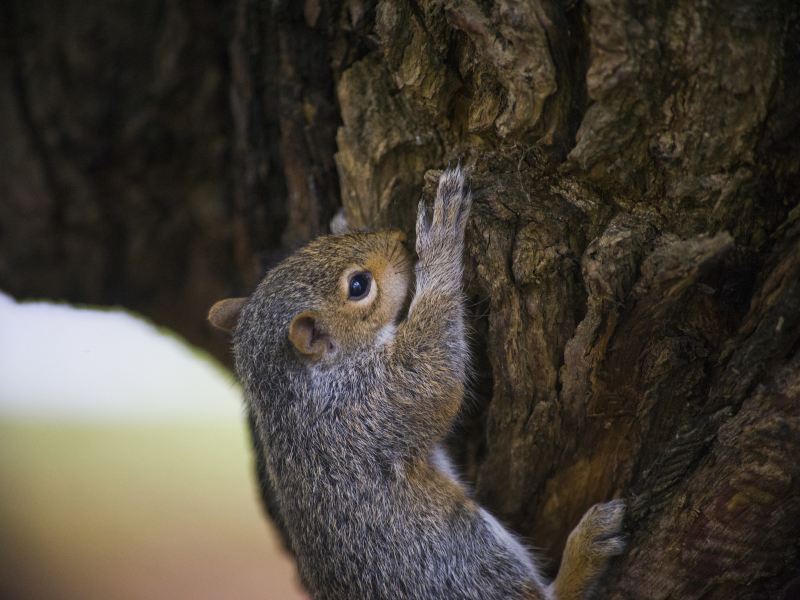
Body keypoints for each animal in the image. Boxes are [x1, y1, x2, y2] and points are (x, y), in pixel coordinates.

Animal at [209, 168, 628, 600]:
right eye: (358, 286)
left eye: (317, 245)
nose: (397, 237)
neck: (289, 388)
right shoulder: (371, 403)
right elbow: (434, 373)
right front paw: (441, 239)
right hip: (462, 556)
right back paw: (586, 551)